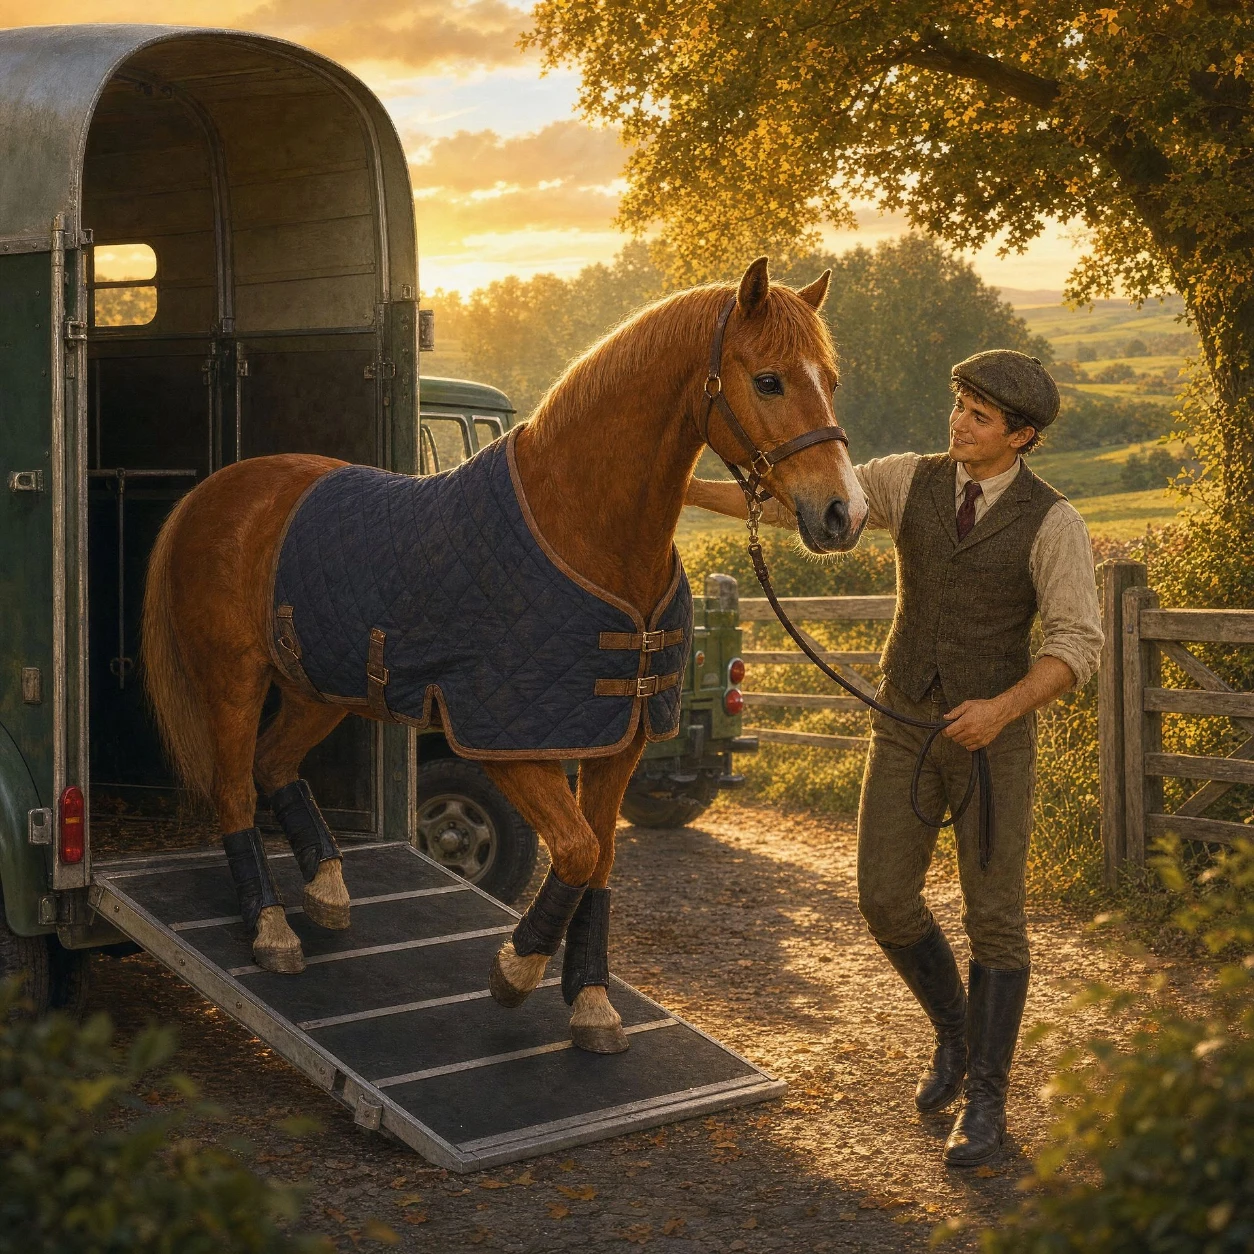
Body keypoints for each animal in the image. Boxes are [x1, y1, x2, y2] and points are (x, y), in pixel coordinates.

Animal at [141, 256, 869, 1053]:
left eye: (832, 380)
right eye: (768, 380)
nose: (844, 514)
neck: (578, 526)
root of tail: (217, 491)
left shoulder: (619, 740)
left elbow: (600, 859)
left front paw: (592, 1005)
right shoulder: (506, 741)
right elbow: (575, 850)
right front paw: (515, 972)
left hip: (318, 687)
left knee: (274, 764)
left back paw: (329, 891)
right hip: (232, 680)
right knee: (235, 788)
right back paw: (273, 932)